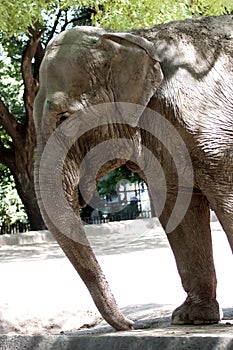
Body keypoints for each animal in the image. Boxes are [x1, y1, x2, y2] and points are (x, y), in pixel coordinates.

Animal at [33, 14, 233, 330]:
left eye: (64, 117)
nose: (131, 324)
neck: (133, 37)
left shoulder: (209, 126)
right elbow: (175, 203)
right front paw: (190, 318)